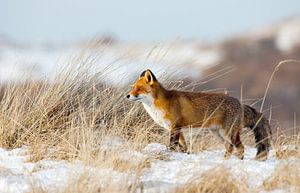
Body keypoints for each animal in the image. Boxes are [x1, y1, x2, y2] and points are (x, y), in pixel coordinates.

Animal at [126, 69, 272, 160]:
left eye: (139, 89)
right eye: (133, 87)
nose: (127, 95)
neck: (159, 104)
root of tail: (240, 103)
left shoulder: (175, 127)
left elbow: (172, 145)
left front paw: (170, 154)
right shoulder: (177, 129)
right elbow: (183, 146)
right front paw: (185, 154)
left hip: (229, 132)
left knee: (240, 147)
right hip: (218, 133)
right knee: (229, 147)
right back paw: (224, 162)